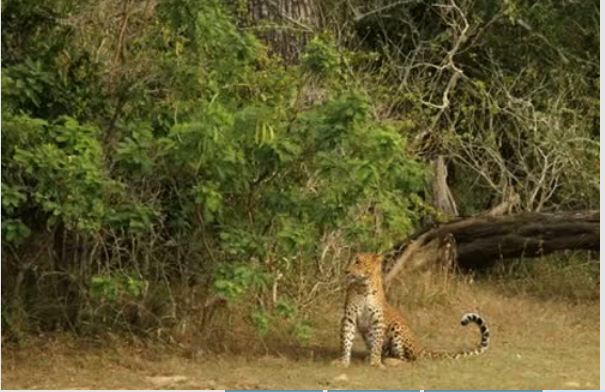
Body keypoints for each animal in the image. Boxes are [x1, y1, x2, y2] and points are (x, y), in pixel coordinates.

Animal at [336, 253, 490, 366]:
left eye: (358, 262)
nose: (346, 271)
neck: (364, 288)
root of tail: (420, 347)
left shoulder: (378, 320)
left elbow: (377, 342)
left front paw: (375, 363)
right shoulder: (349, 317)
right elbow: (346, 340)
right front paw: (343, 361)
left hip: (397, 327)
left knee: (409, 359)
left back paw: (389, 361)